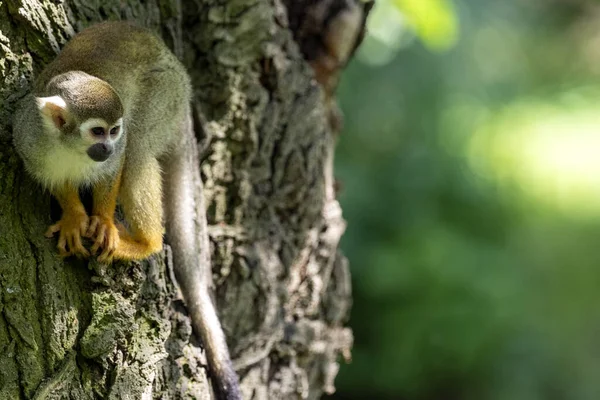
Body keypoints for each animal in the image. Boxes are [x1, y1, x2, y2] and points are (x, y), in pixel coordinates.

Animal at [12, 21, 241, 400]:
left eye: (112, 131)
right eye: (97, 131)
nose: (106, 146)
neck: (67, 146)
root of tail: (175, 66)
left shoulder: (113, 149)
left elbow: (116, 167)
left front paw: (103, 222)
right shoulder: (27, 141)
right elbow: (54, 177)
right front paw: (74, 217)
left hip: (165, 92)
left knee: (137, 150)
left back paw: (146, 243)